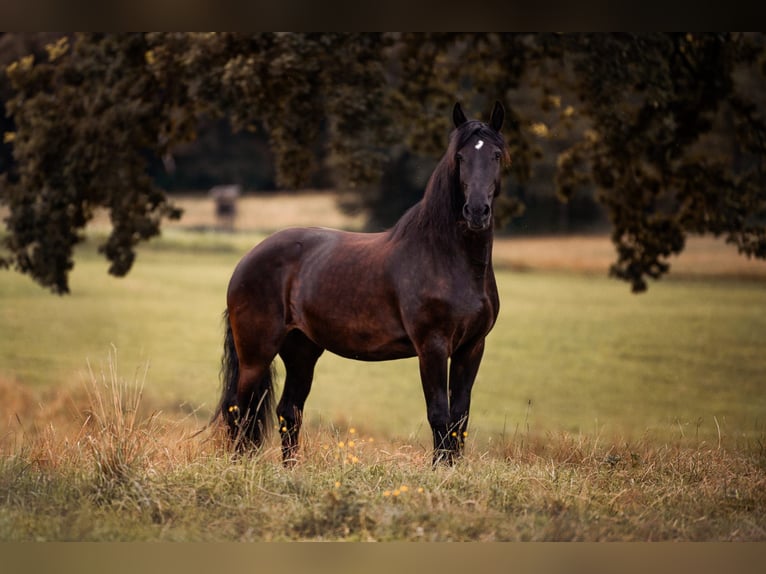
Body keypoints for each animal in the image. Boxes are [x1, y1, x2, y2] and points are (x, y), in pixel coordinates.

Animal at [218, 101, 510, 466]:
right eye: (460, 156)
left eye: (496, 154)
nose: (477, 212)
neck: (447, 257)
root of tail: (246, 261)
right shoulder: (432, 347)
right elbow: (439, 415)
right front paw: (439, 471)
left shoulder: (471, 347)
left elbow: (460, 418)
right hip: (256, 353)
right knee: (239, 411)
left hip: (302, 350)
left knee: (289, 411)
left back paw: (290, 469)